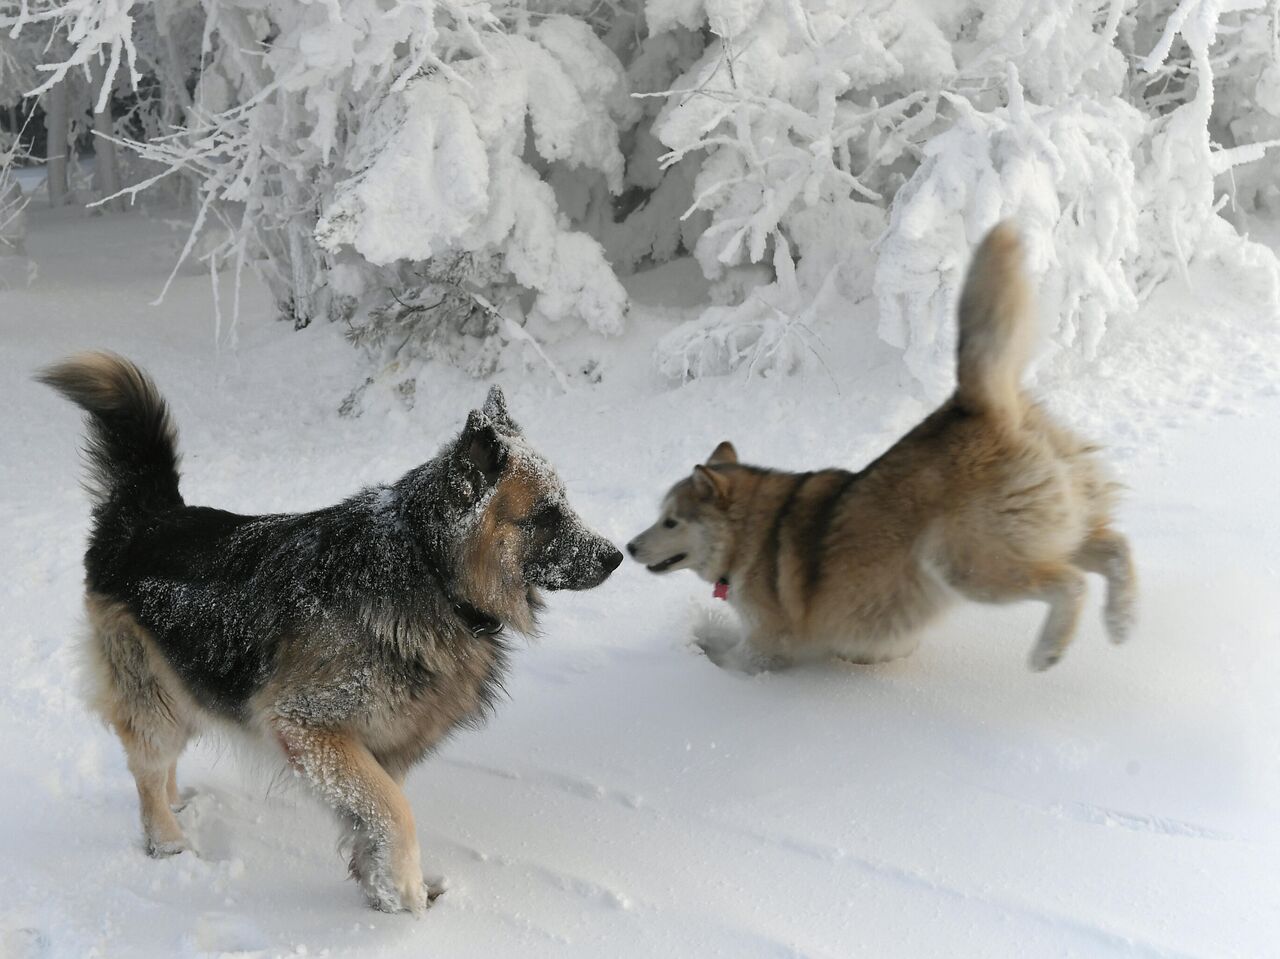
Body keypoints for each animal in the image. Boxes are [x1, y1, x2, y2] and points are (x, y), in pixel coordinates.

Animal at [40, 353, 619, 911]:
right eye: (546, 515)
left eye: (564, 506)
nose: (615, 556)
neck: (428, 569)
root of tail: (148, 516)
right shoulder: (307, 726)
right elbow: (396, 810)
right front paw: (405, 892)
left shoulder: (381, 745)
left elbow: (375, 816)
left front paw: (379, 890)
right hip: (151, 698)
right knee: (146, 772)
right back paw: (167, 841)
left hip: (185, 686)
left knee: (164, 766)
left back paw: (180, 803)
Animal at [624, 224, 1136, 670]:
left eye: (670, 521)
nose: (628, 547)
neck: (751, 534)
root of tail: (978, 407)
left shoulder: (770, 645)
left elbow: (734, 658)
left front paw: (705, 650)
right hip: (1055, 530)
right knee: (1116, 547)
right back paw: (1122, 621)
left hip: (968, 566)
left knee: (1070, 583)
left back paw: (1050, 650)